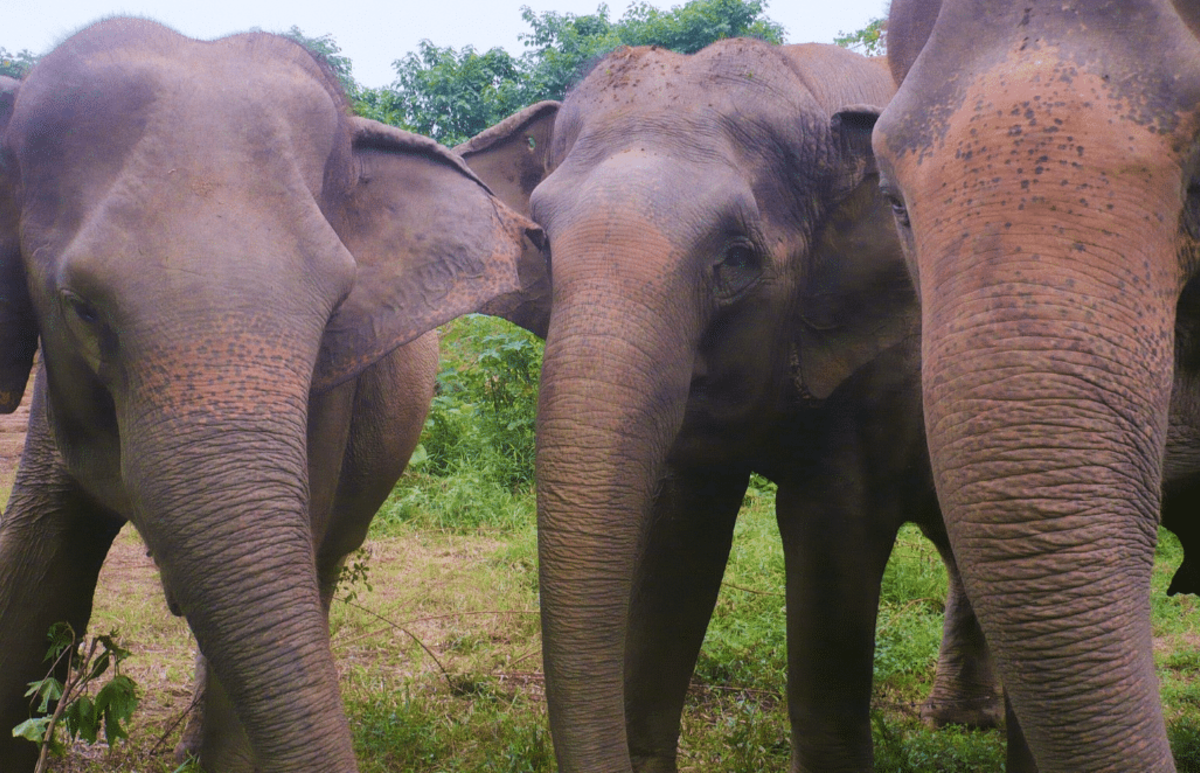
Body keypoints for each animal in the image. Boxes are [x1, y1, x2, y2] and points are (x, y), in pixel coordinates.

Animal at [458, 38, 1001, 773]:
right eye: (540, 241)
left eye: (738, 260)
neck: (805, 90)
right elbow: (680, 532)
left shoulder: (878, 360)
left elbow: (832, 534)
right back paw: (961, 720)